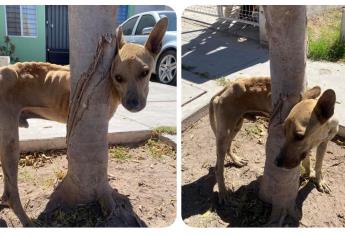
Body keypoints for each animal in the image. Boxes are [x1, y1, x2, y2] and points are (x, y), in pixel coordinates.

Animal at [0, 17, 168, 226]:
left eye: (145, 73)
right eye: (118, 77)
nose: (133, 104)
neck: (112, 88)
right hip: (10, 143)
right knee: (12, 192)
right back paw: (26, 220)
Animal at [208, 76, 338, 205]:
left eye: (299, 136)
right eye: (284, 131)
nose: (277, 162)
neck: (326, 129)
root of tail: (226, 88)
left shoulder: (322, 144)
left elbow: (317, 164)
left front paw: (318, 179)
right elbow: (309, 159)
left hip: (236, 126)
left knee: (228, 147)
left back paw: (236, 160)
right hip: (225, 132)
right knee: (218, 168)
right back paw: (223, 192)